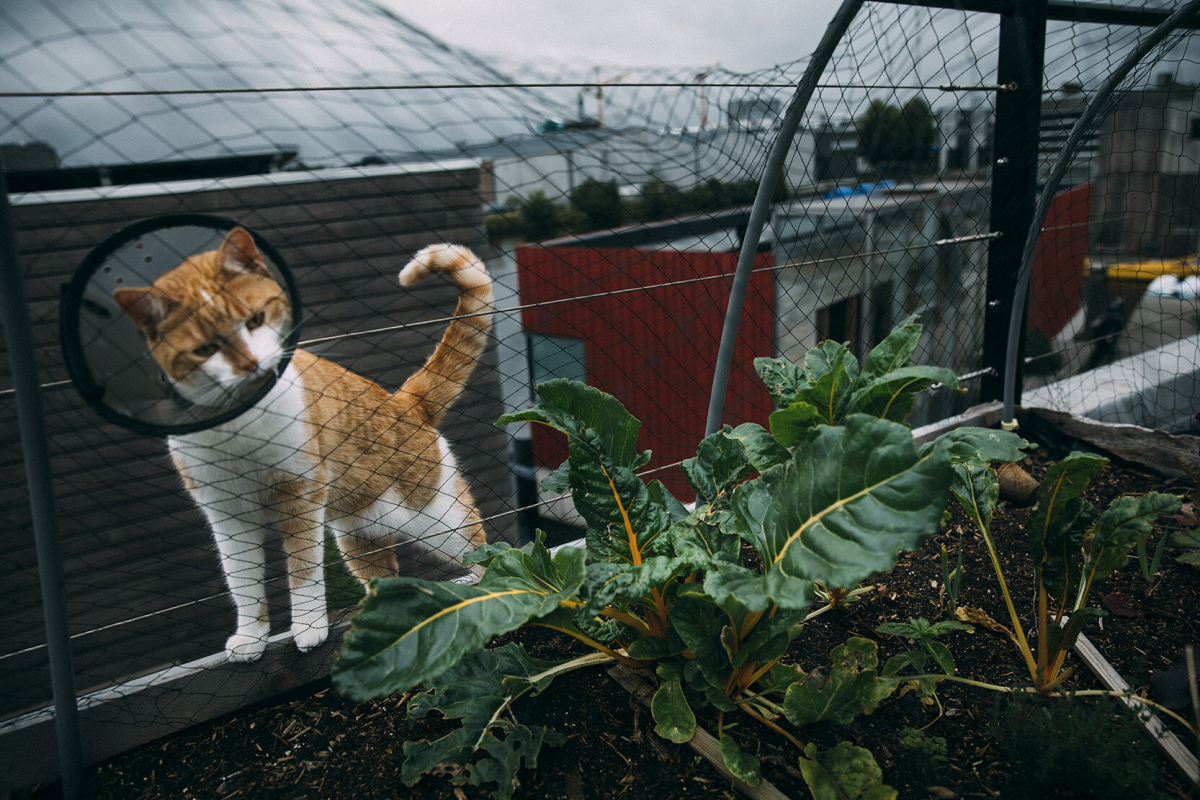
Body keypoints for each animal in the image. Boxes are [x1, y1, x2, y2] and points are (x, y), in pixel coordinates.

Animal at [110, 230, 489, 662]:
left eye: (255, 320)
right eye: (205, 349)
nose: (251, 364)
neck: (238, 427)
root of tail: (406, 401)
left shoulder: (298, 498)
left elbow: (302, 569)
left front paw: (307, 627)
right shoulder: (227, 516)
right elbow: (242, 582)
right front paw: (251, 636)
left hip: (439, 521)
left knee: (492, 550)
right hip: (357, 536)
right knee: (385, 575)